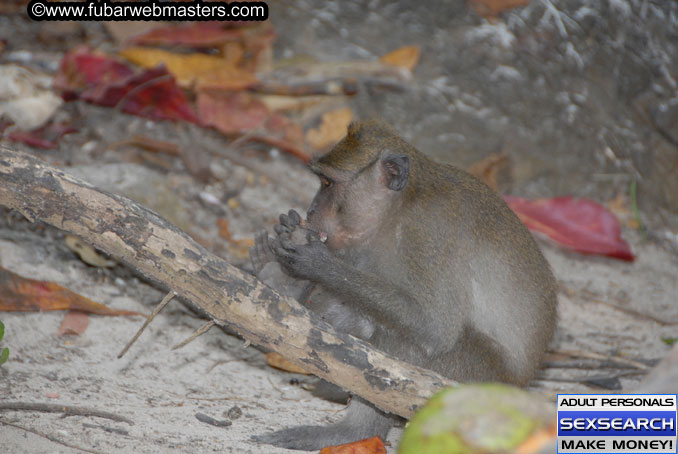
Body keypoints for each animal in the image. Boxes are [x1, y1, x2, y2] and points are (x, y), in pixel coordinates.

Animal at [250, 119, 556, 450]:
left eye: (328, 184)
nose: (311, 210)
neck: (397, 211)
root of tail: (519, 386)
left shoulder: (429, 232)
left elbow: (435, 327)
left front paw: (316, 264)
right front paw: (289, 280)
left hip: (470, 382)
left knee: (406, 345)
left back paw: (354, 432)